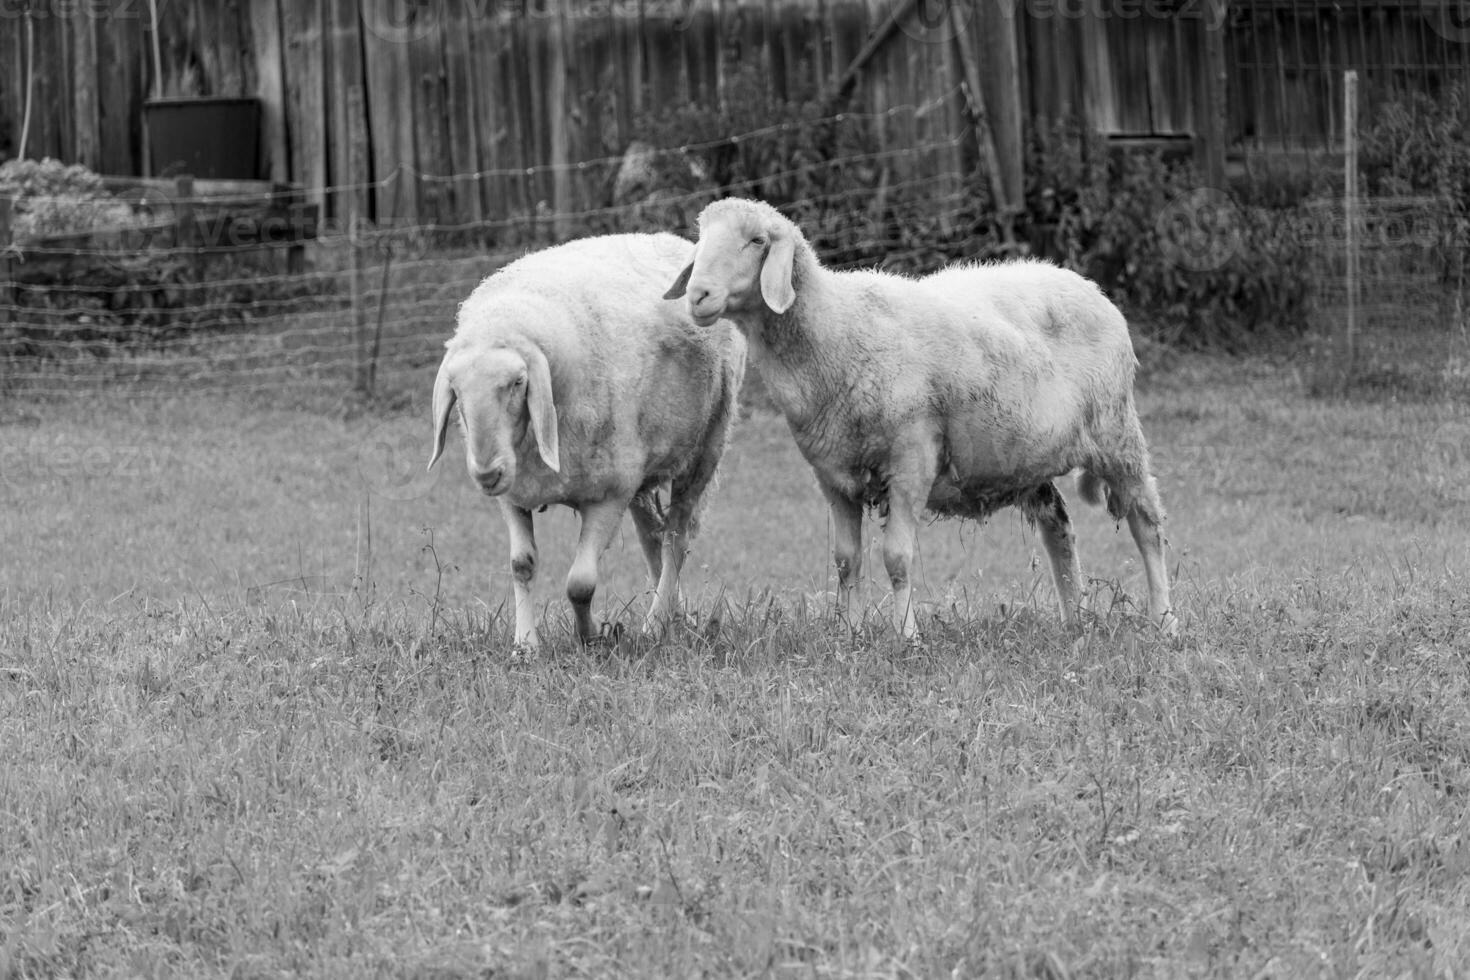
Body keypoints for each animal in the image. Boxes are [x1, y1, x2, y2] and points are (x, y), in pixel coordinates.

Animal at [426, 233, 746, 646]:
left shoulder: (609, 495)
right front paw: (525, 644)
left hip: (705, 448)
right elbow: (521, 565)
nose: (487, 474)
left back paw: (656, 623)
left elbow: (579, 584)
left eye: (518, 382)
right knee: (652, 537)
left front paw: (590, 637)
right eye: (456, 390)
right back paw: (676, 615)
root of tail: (675, 240)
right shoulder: (515, 493)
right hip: (640, 469)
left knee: (676, 538)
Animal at [673, 199, 1176, 643]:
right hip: (1026, 456)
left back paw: (1164, 621)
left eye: (757, 240)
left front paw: (906, 637)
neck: (836, 329)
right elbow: (846, 560)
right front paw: (850, 634)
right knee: (1059, 527)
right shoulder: (834, 474)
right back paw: (1074, 621)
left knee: (1147, 524)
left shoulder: (911, 458)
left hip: (1117, 432)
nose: (698, 295)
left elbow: (897, 558)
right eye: (702, 237)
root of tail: (1087, 285)